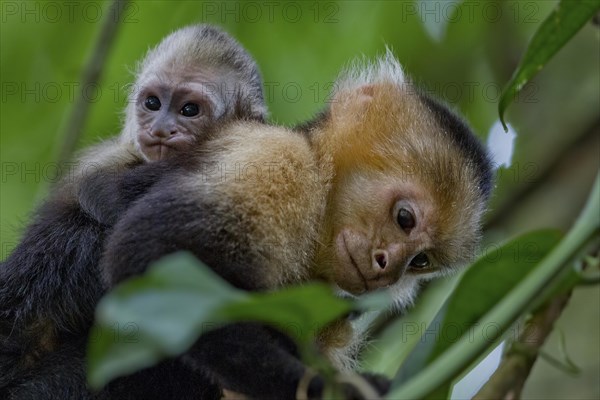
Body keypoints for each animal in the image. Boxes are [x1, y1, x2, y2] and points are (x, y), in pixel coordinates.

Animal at [97, 53, 492, 400]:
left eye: (420, 261)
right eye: (405, 219)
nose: (388, 268)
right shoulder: (280, 161)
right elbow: (150, 253)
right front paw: (328, 389)